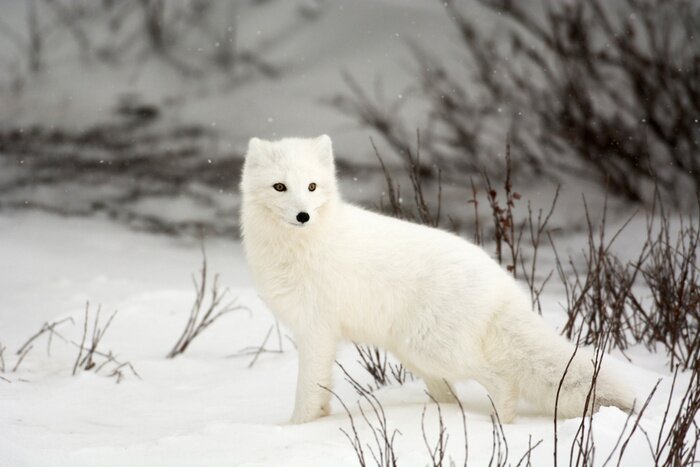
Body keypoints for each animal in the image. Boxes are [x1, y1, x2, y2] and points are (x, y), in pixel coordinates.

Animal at [240, 134, 636, 424]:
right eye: (279, 187)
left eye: (311, 186)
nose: (303, 215)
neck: (301, 245)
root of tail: (502, 284)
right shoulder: (315, 332)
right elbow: (320, 393)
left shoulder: (317, 330)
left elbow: (307, 392)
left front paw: (295, 430)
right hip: (417, 356)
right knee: (452, 396)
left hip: (431, 350)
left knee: (502, 381)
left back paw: (500, 425)